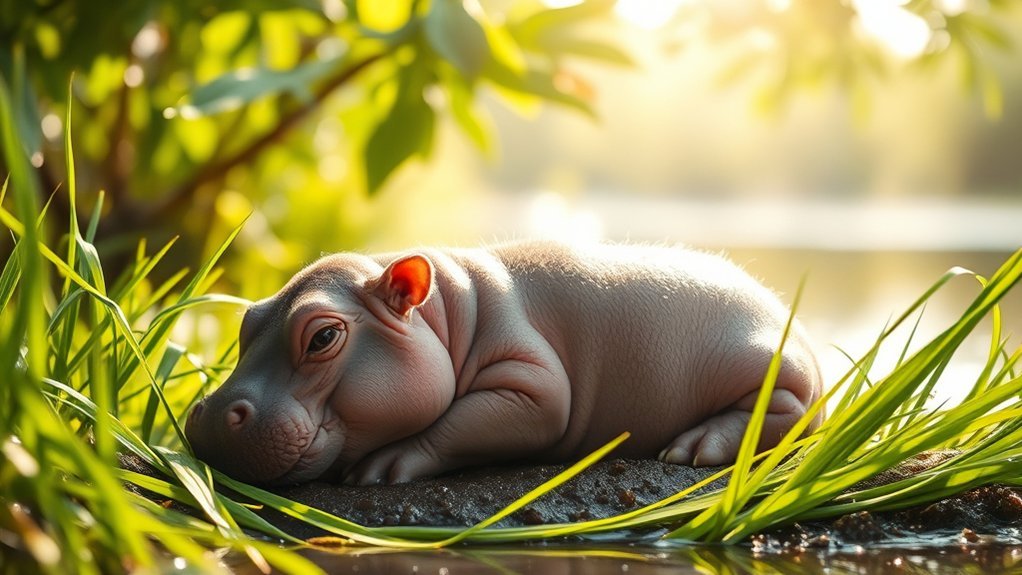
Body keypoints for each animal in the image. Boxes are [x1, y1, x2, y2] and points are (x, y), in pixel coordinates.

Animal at [185, 241, 822, 486]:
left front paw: (380, 469)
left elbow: (461, 424)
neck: (443, 311)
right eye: (247, 321)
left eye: (322, 336)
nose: (209, 413)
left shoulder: (532, 384)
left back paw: (694, 448)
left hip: (774, 372)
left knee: (786, 414)